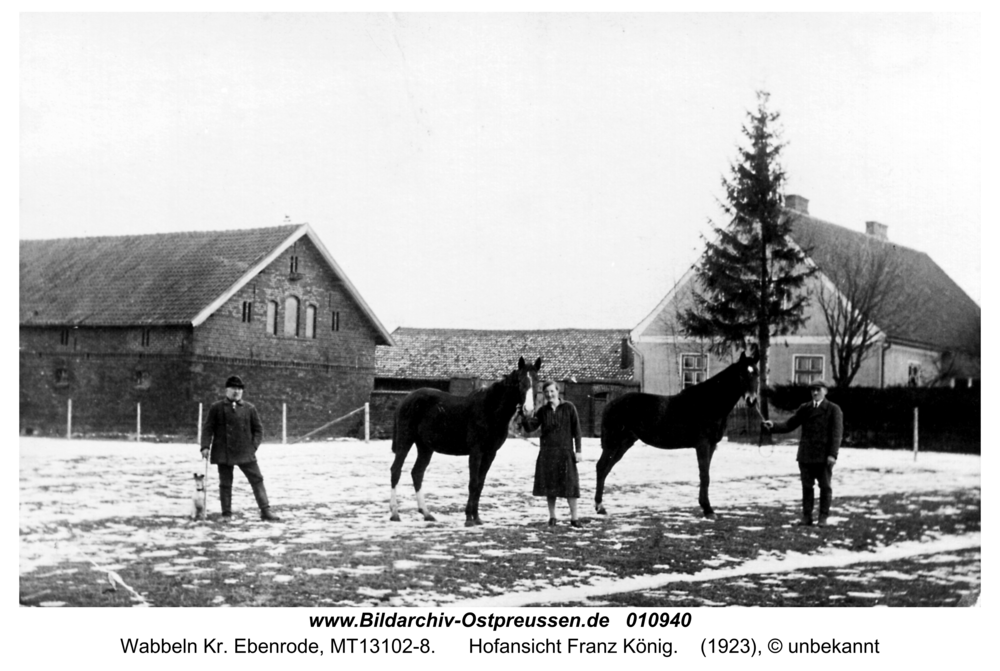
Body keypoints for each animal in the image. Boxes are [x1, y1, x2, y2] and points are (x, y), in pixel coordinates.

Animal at [388, 354, 544, 528]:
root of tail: (405, 400)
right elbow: (473, 482)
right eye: (520, 381)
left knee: (417, 473)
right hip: (405, 441)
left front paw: (477, 517)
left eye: (537, 381)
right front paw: (469, 518)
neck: (490, 410)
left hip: (425, 447)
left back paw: (427, 513)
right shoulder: (476, 452)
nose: (528, 411)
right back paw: (395, 514)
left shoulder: (490, 453)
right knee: (396, 470)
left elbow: (480, 484)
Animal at [592, 352, 756, 520]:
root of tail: (610, 405)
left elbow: (705, 474)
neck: (708, 402)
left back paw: (600, 506)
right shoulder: (703, 445)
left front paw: (706, 507)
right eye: (741, 374)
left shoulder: (712, 445)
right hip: (613, 443)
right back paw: (600, 507)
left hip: (624, 443)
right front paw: (708, 509)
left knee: (606, 468)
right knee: (601, 467)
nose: (752, 400)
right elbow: (704, 475)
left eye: (756, 373)